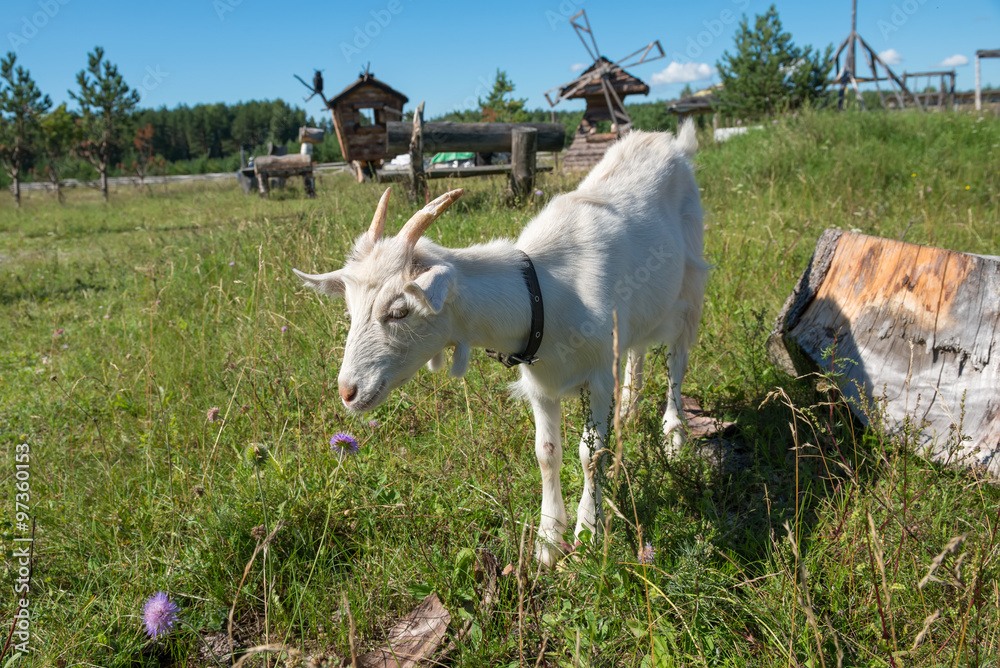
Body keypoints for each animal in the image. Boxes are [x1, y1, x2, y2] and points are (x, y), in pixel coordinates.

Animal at [293, 120, 708, 567]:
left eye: (399, 311)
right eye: (351, 308)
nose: (347, 392)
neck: (544, 294)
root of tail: (670, 141)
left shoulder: (597, 377)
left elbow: (590, 454)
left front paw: (587, 536)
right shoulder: (541, 382)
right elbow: (546, 452)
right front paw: (547, 541)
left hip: (691, 289)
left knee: (677, 362)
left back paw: (674, 437)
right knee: (637, 350)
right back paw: (630, 407)